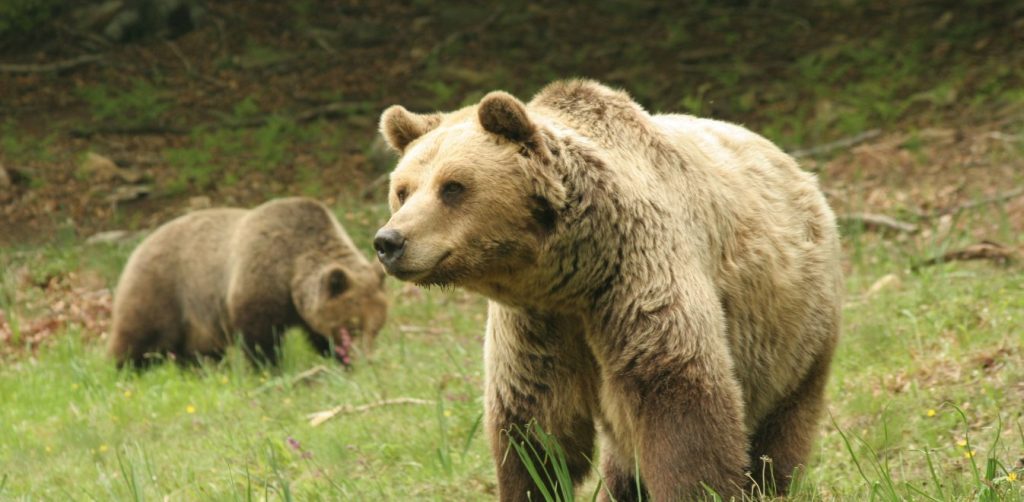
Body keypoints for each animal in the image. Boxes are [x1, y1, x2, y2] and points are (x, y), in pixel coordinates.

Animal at [108, 196, 387, 368]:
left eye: (377, 328)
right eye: (353, 326)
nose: (365, 359)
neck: (290, 273)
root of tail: (140, 245)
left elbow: (318, 335)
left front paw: (341, 361)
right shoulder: (259, 280)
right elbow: (259, 337)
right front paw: (269, 367)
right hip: (162, 288)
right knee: (140, 335)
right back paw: (125, 368)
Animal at [374, 80, 839, 499]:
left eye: (453, 186)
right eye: (403, 191)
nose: (389, 241)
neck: (572, 276)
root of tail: (797, 167)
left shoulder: (636, 279)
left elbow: (680, 402)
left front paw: (698, 487)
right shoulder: (537, 328)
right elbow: (536, 427)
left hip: (794, 328)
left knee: (783, 421)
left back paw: (773, 482)